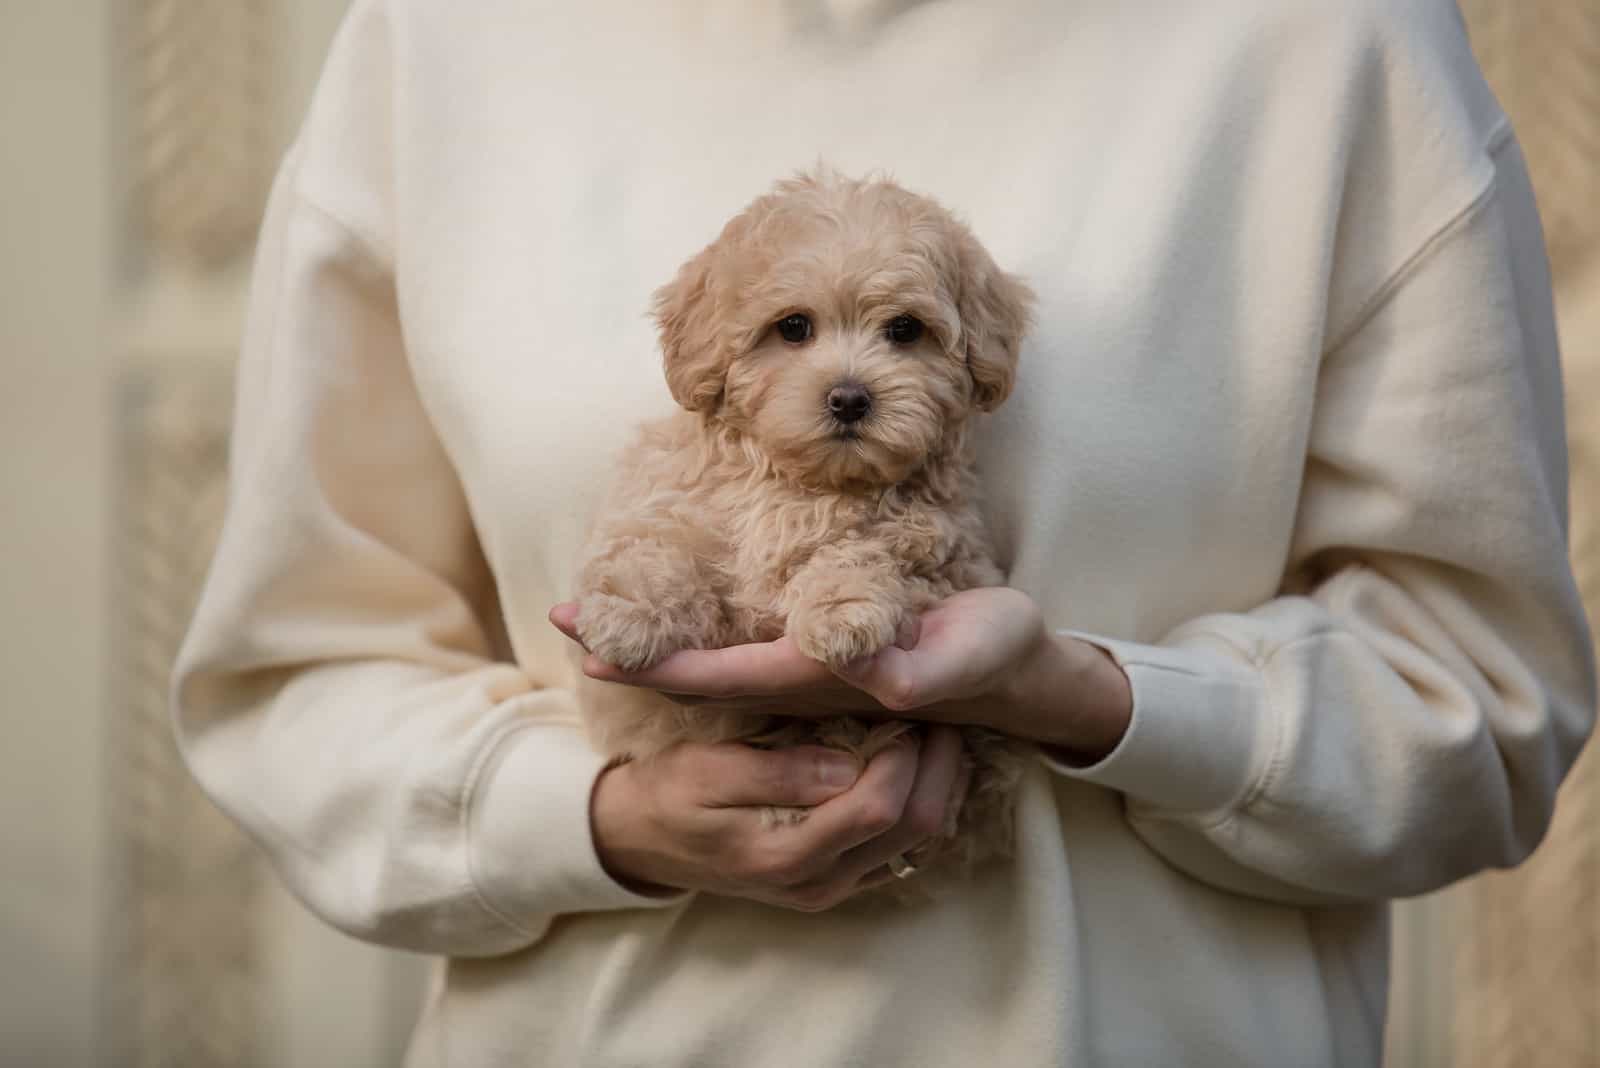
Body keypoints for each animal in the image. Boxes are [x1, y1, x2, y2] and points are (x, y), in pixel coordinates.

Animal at [576, 171, 1036, 888]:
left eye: (905, 330)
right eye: (793, 327)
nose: (849, 398)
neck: (804, 485)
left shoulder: (948, 557)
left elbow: (869, 547)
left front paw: (840, 608)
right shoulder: (674, 502)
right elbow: (661, 547)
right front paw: (630, 614)